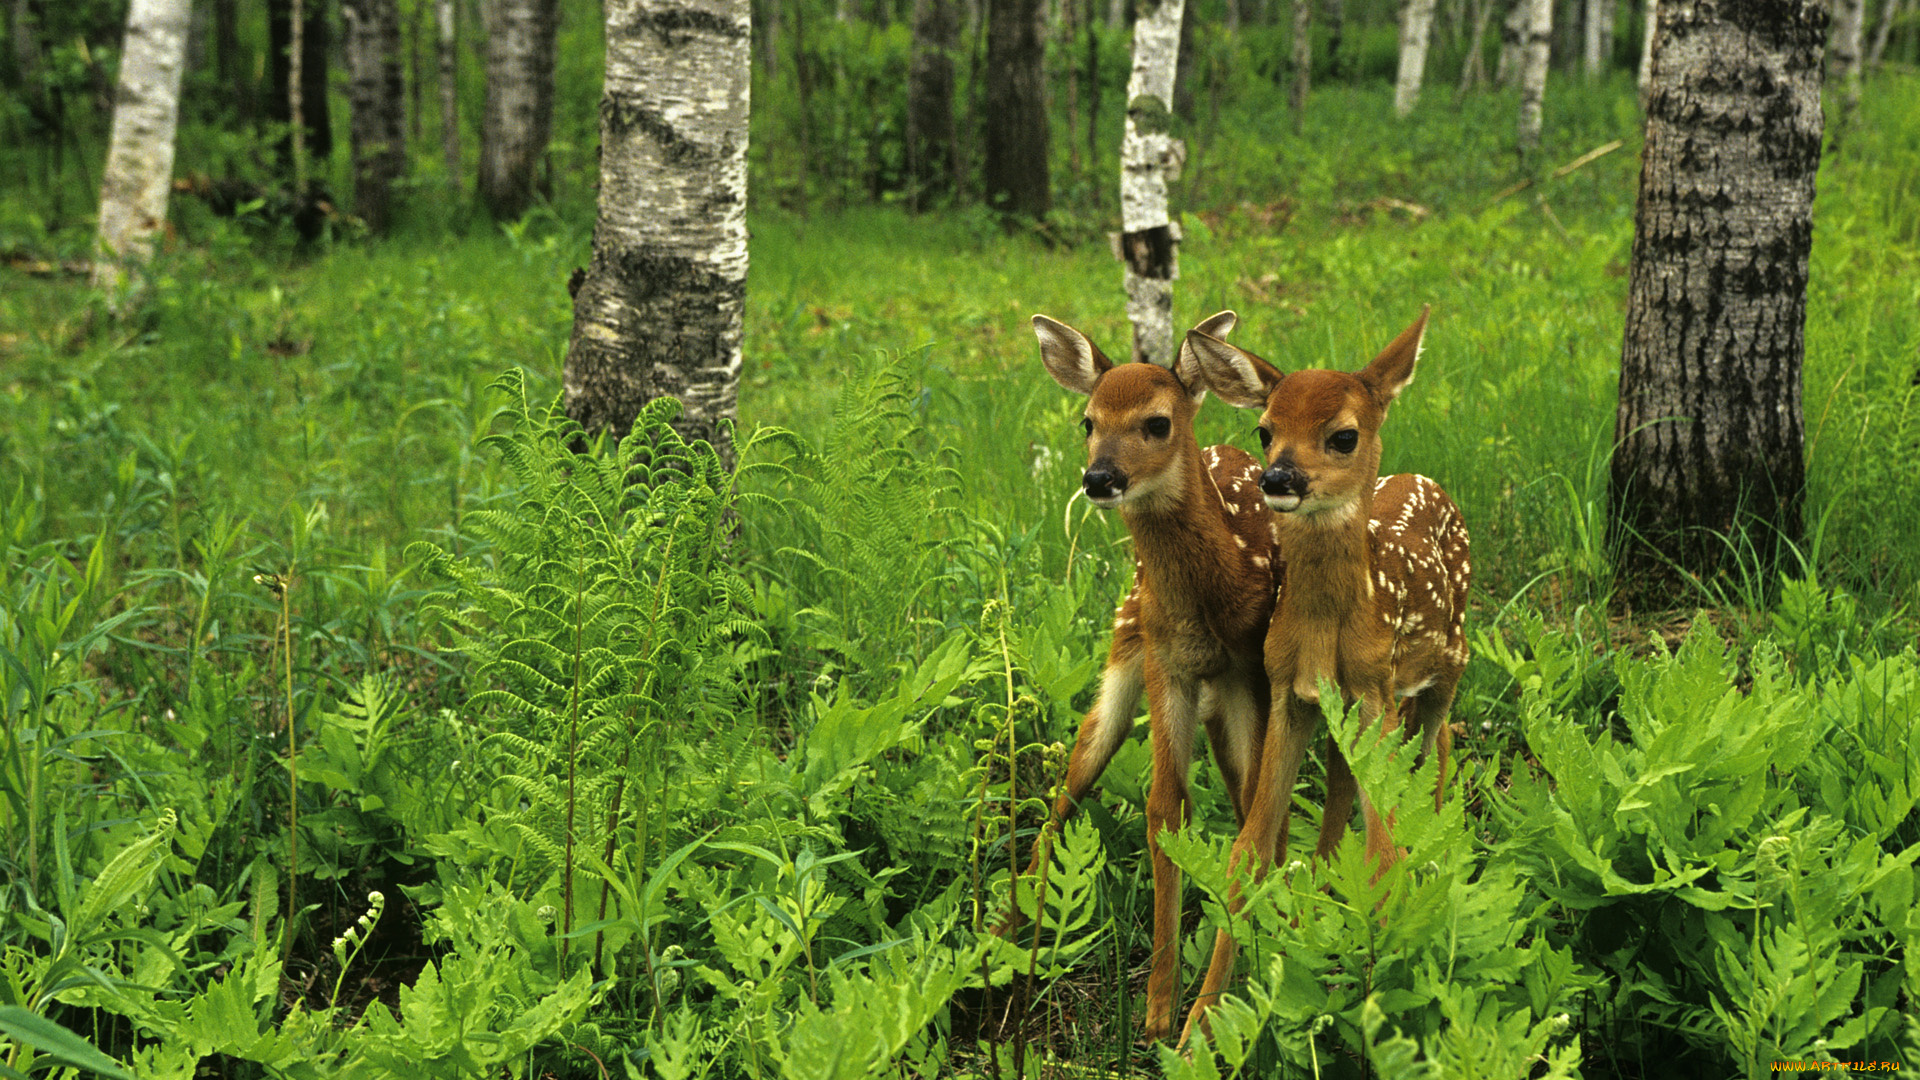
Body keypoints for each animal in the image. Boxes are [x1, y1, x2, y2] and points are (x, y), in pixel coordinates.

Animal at [998, 307, 1282, 1037]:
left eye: (1157, 422)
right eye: (1087, 421)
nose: (1099, 478)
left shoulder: (1249, 673)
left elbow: (1248, 817)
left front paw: (1208, 1005)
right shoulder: (1163, 661)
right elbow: (1164, 806)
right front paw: (1156, 1009)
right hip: (1124, 651)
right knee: (1069, 784)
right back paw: (1002, 928)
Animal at [1167, 305, 1466, 1045]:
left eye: (1343, 435)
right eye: (1265, 428)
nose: (1278, 479)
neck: (1330, 631)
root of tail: (1428, 481)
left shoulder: (1376, 686)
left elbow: (1384, 852)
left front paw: (1384, 1004)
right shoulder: (1290, 695)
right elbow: (1249, 851)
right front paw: (1197, 1028)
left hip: (1449, 662)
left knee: (1440, 741)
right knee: (1349, 787)